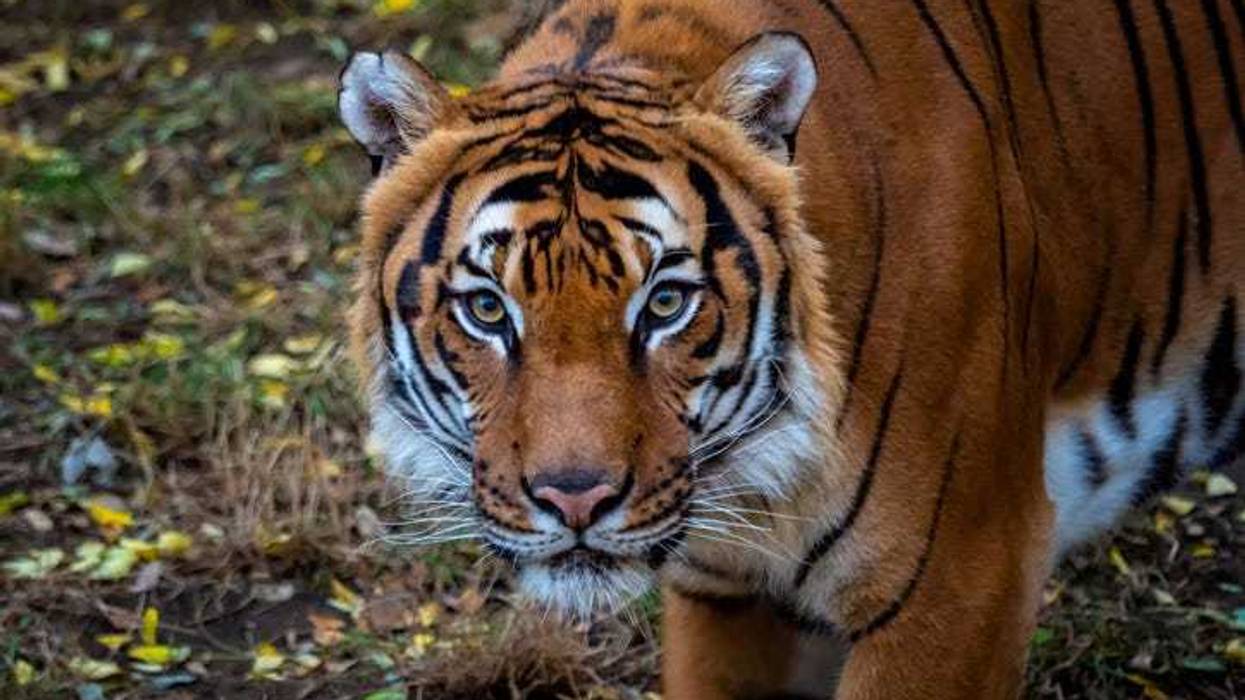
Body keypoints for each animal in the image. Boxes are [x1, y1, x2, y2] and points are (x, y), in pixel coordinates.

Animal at [336, 0, 1245, 696]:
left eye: (664, 302)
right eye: (489, 310)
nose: (575, 501)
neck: (758, 481)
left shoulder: (962, 583)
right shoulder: (723, 597)